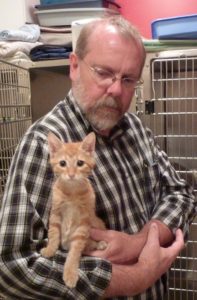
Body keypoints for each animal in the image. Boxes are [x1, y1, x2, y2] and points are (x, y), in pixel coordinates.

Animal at [40, 132, 107, 288]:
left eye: (80, 163)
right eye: (62, 163)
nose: (71, 175)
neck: (71, 192)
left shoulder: (84, 222)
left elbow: (75, 250)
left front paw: (70, 272)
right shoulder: (55, 213)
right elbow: (53, 233)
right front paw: (50, 249)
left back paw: (99, 244)